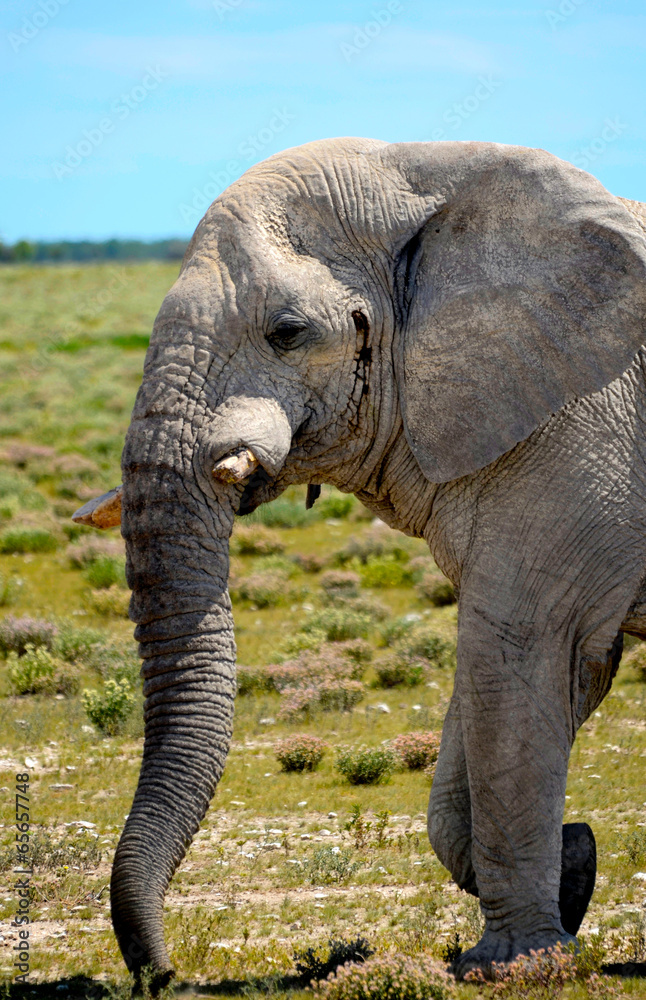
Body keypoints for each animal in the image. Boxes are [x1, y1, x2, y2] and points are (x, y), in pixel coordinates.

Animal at [73, 137, 646, 986]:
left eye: (286, 331)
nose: (161, 975)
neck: (430, 179)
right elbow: (506, 690)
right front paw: (576, 868)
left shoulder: (577, 444)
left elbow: (515, 657)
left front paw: (511, 966)